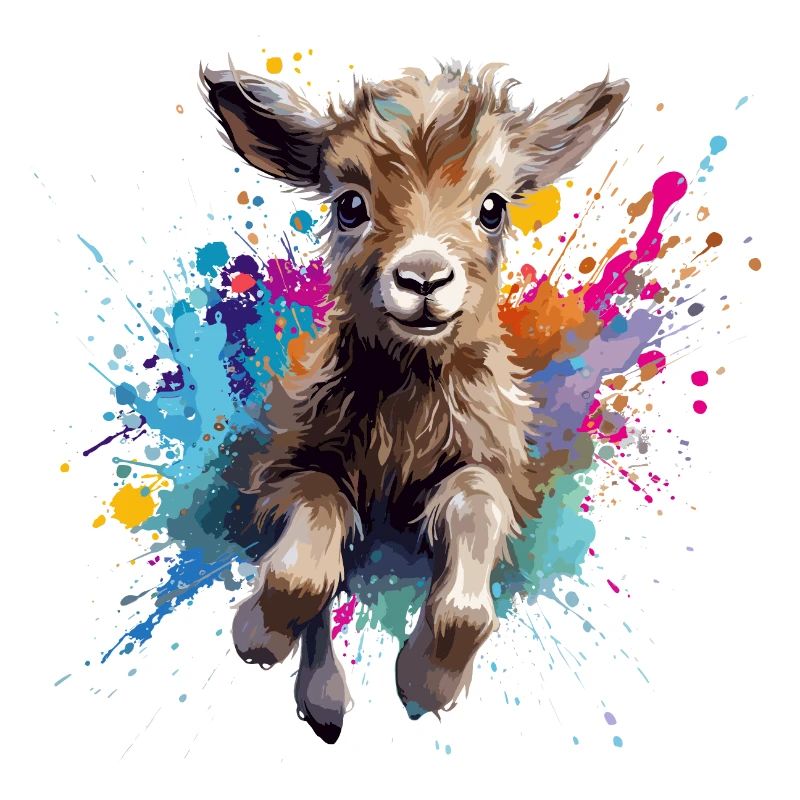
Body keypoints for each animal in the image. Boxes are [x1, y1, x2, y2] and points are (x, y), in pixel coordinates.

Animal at [202, 61, 628, 743]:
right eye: (350, 205)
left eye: (492, 207)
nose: (423, 278)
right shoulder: (291, 464)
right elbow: (304, 564)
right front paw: (258, 637)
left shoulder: (489, 464)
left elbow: (471, 558)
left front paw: (427, 683)